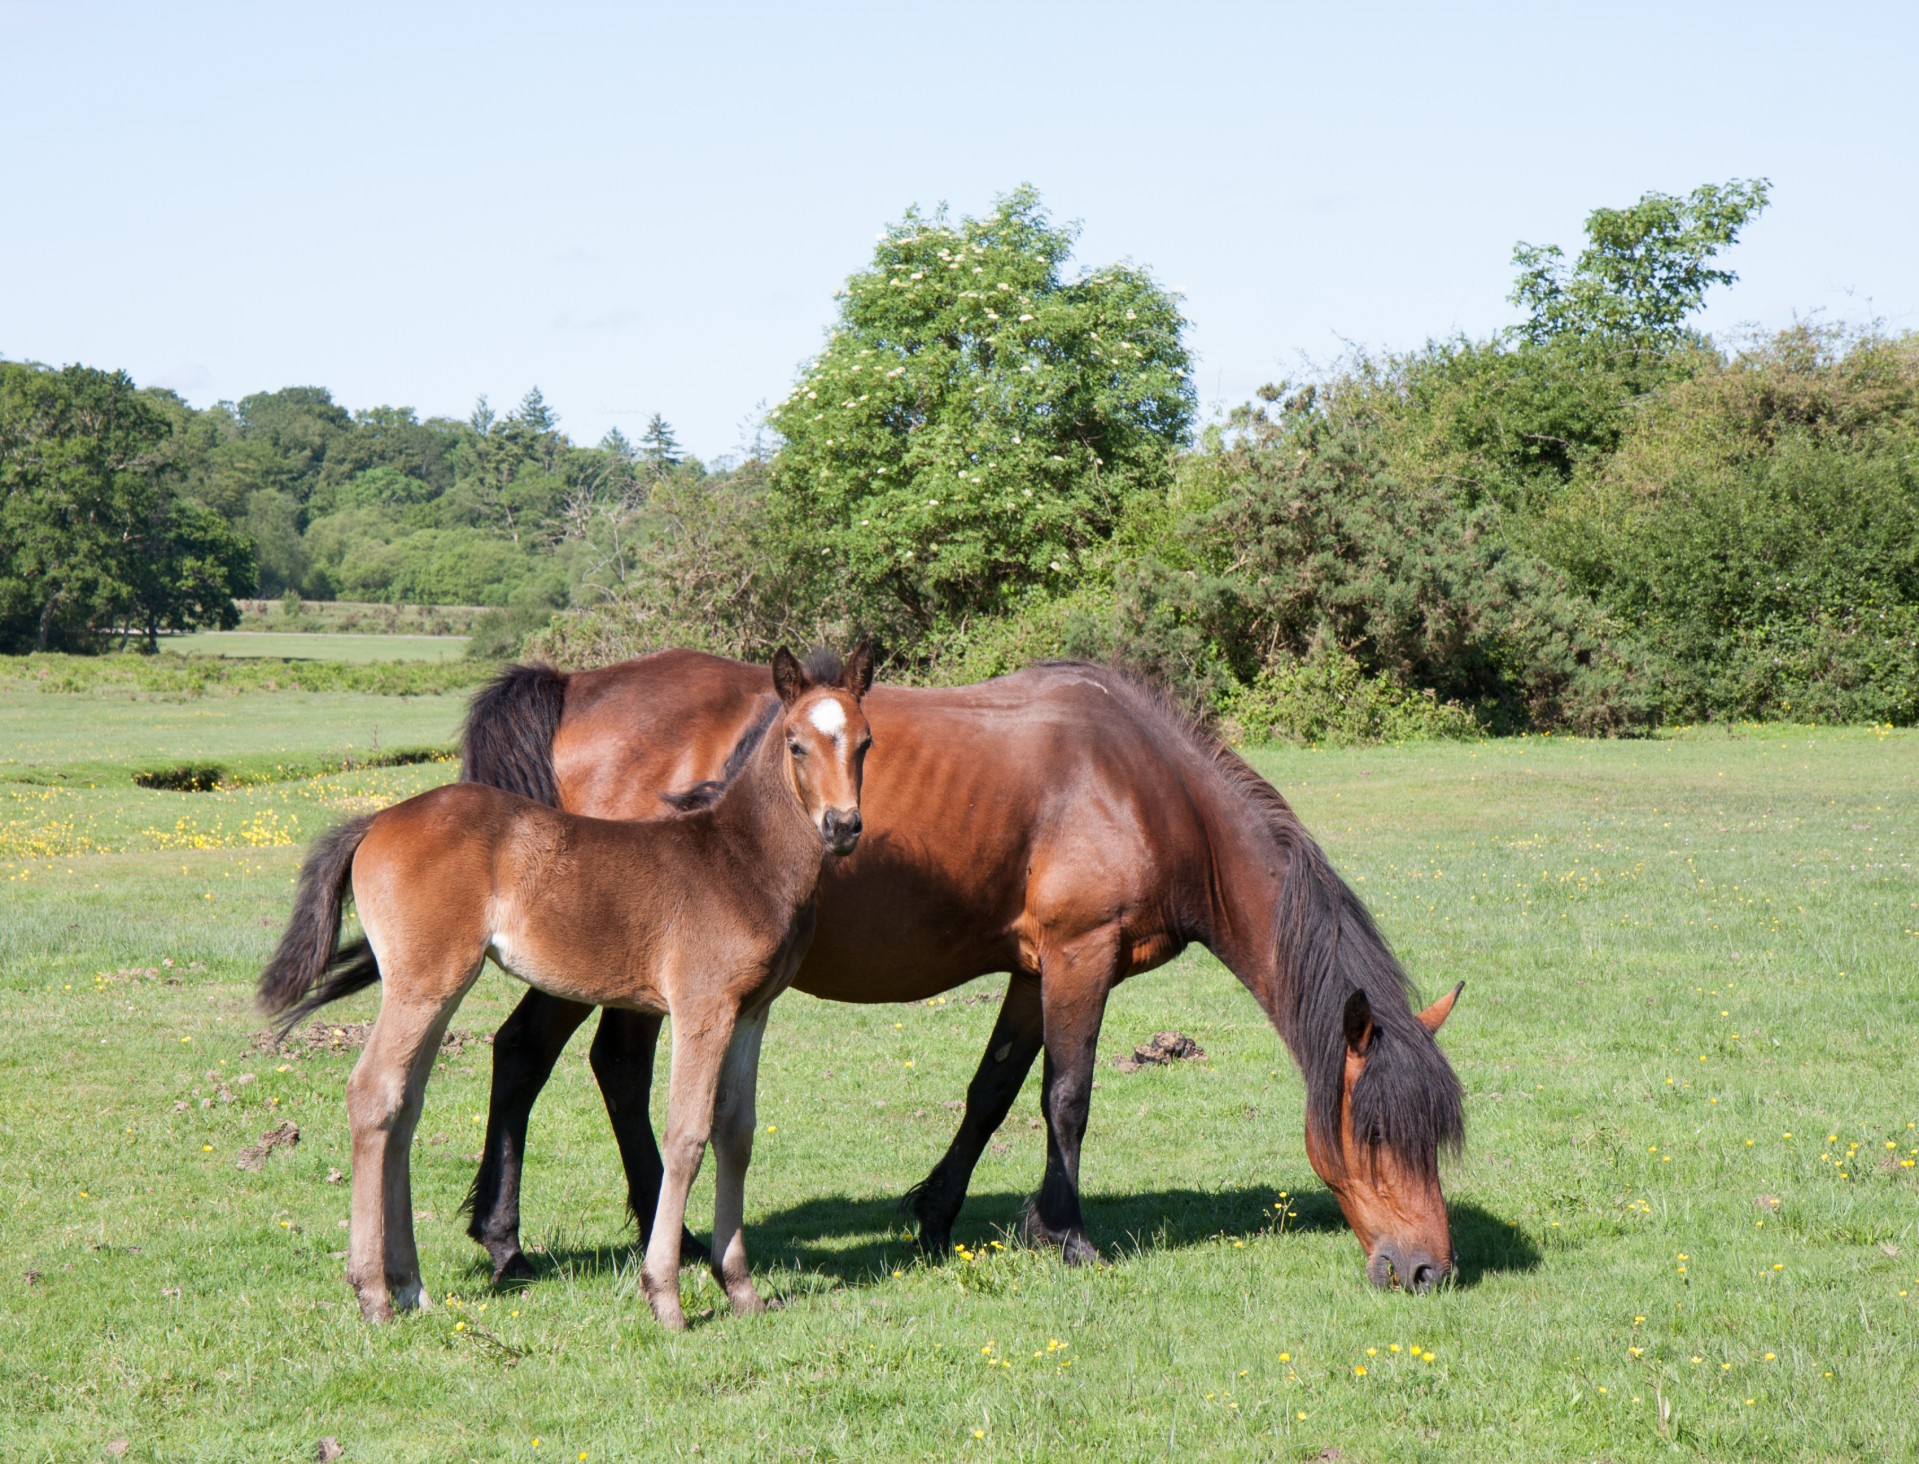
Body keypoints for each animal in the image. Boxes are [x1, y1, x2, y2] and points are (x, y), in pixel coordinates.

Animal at [259, 644, 875, 1327]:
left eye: (865, 742)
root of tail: (376, 820)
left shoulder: (751, 1013)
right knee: (373, 1094)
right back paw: (373, 1292)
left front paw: (740, 1289)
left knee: (404, 1104)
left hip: (435, 987)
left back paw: (411, 1285)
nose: (842, 826)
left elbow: (735, 1135)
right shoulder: (702, 1010)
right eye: (796, 743)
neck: (740, 859)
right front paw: (664, 1295)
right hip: (425, 983)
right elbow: (686, 1136)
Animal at [452, 652, 1466, 1297]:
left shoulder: (1031, 969)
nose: (1427, 1270)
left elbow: (992, 1092)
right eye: (1375, 1136)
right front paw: (1067, 1235)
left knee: (593, 1065)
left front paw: (937, 1217)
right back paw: (517, 1245)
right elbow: (1066, 1097)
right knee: (536, 1056)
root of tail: (578, 686)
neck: (1142, 784)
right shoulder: (1080, 956)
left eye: (1435, 1141)